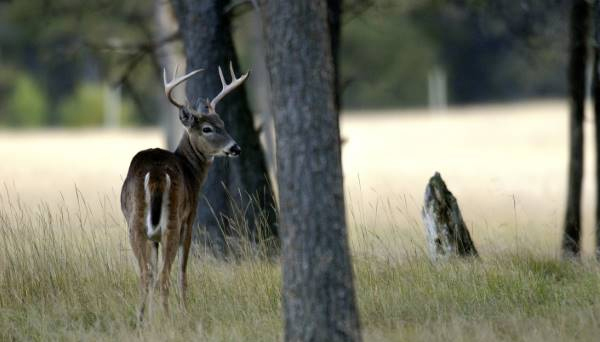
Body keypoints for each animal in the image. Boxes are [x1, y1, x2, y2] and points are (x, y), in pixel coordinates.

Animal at [120, 62, 247, 322]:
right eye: (207, 128)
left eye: (223, 124)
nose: (236, 148)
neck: (191, 172)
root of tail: (156, 172)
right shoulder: (190, 219)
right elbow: (183, 272)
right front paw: (184, 310)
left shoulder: (154, 238)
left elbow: (153, 270)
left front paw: (153, 315)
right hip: (173, 221)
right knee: (165, 276)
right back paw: (170, 319)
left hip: (135, 223)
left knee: (147, 274)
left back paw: (140, 319)